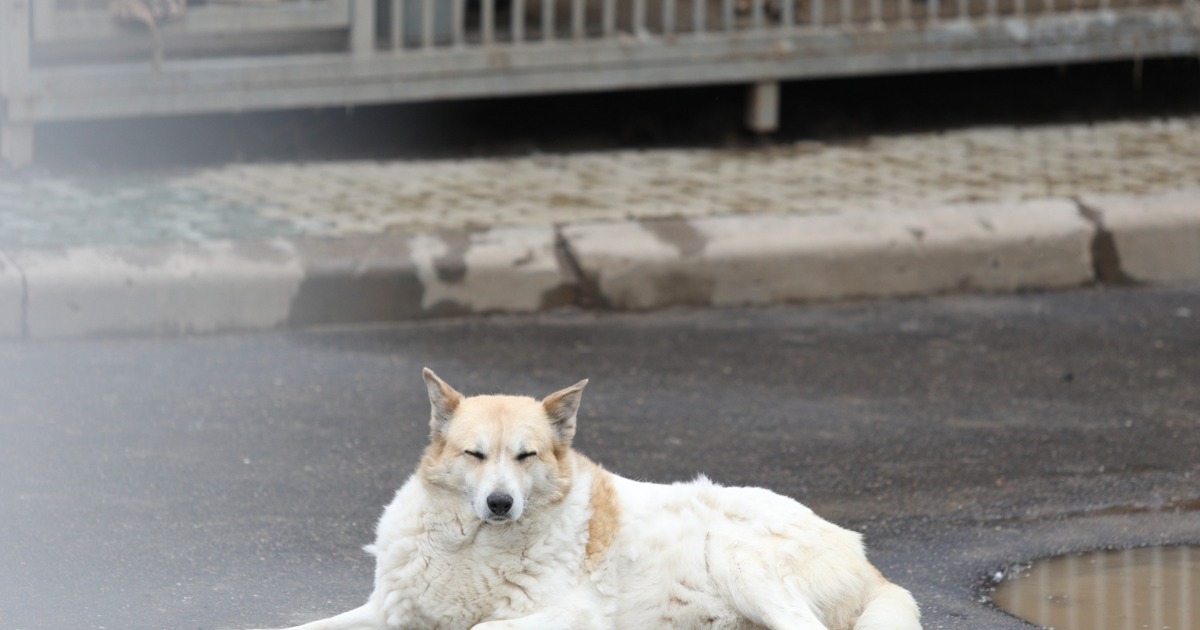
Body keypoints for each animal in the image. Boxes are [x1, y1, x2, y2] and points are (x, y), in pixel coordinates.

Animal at [248, 369, 921, 628]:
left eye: (527, 456)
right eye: (475, 455)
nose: (500, 504)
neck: (473, 547)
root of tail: (863, 553)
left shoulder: (569, 616)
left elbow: (482, 625)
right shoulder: (387, 611)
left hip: (737, 557)